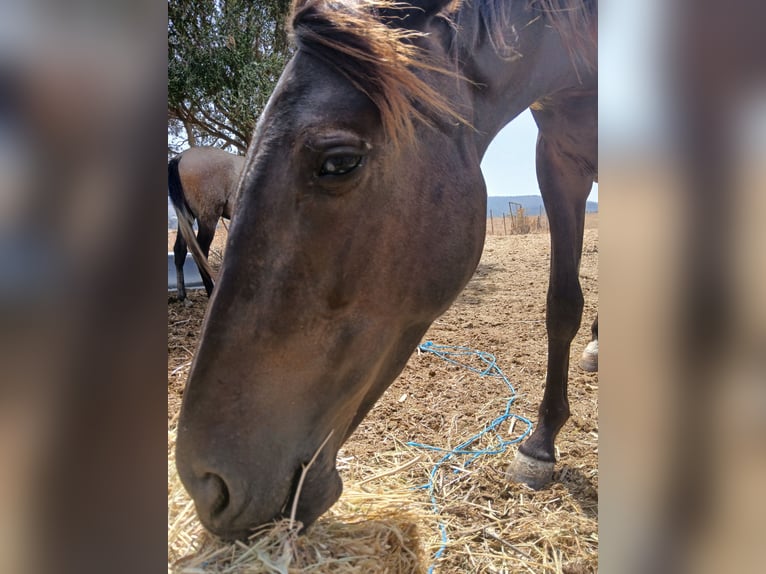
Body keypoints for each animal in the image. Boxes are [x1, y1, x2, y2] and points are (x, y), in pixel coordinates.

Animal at [169, 146, 246, 302]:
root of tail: (180, 157)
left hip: (186, 218)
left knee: (180, 250)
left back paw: (183, 297)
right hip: (208, 218)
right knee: (201, 251)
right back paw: (211, 293)